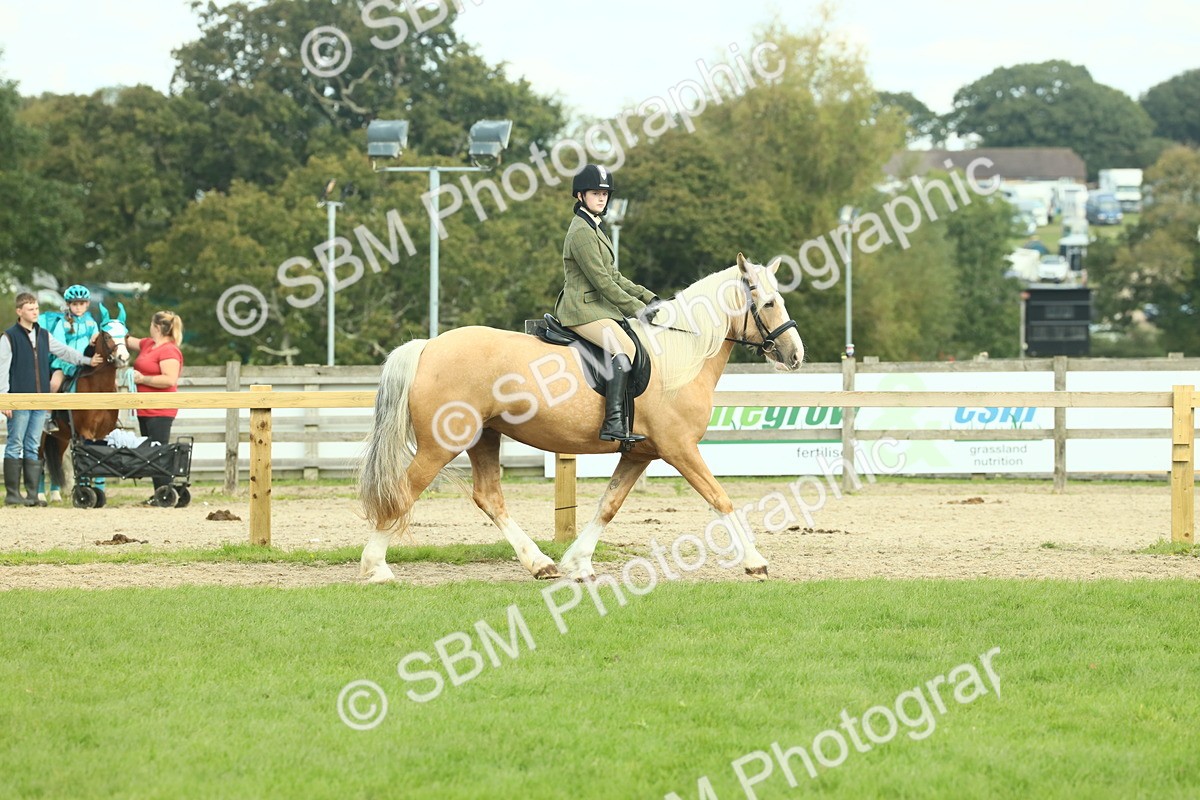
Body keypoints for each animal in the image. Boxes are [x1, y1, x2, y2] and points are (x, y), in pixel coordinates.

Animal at [43, 305, 130, 506]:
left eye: (126, 334)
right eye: (107, 336)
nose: (123, 358)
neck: (98, 389)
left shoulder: (103, 433)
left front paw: (99, 494)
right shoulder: (84, 433)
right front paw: (84, 495)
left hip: (61, 437)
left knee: (56, 459)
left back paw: (55, 495)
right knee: (38, 458)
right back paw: (39, 495)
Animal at [358, 254, 805, 584]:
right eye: (768, 303)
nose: (796, 354)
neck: (681, 355)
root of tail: (428, 346)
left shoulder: (640, 454)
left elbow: (608, 505)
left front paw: (578, 563)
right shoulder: (679, 448)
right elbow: (720, 499)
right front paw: (755, 562)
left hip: (484, 436)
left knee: (489, 497)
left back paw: (541, 564)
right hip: (441, 445)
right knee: (404, 491)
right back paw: (376, 567)